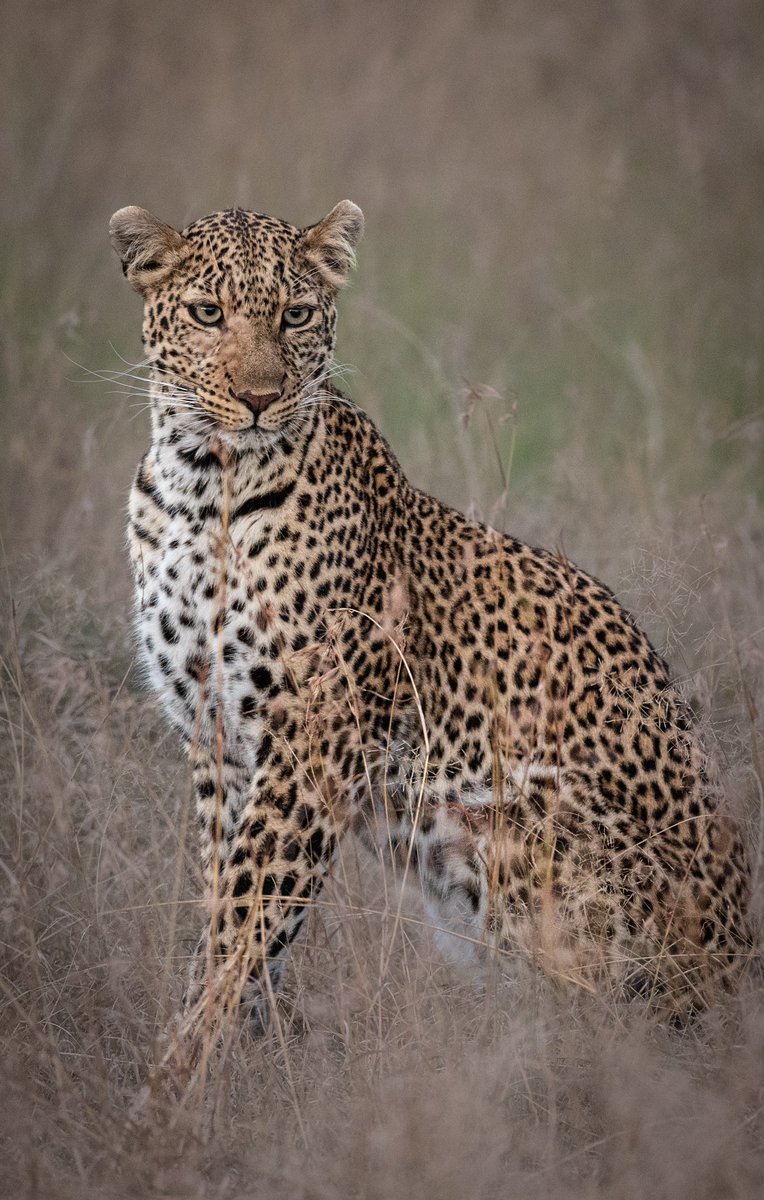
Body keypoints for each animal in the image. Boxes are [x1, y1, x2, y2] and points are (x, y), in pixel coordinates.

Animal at [108, 201, 753, 1027]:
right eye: (207, 313)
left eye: (295, 315)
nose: (258, 399)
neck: (200, 487)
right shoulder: (216, 740)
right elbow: (232, 908)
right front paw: (244, 1041)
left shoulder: (311, 742)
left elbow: (244, 918)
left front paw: (187, 1054)